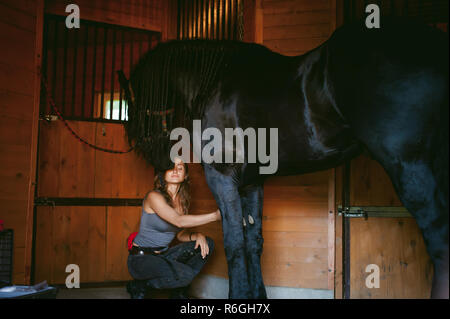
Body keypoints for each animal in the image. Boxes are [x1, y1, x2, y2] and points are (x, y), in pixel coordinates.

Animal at [118, 18, 446, 300]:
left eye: (132, 106)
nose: (159, 160)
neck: (213, 84)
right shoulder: (251, 183)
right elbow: (253, 242)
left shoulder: (221, 176)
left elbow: (234, 243)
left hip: (408, 166)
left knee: (439, 241)